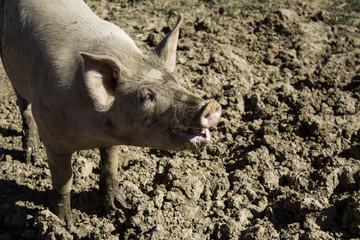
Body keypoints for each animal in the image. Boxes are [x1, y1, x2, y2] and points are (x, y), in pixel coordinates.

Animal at [0, 0, 221, 226]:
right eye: (146, 96)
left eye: (175, 80)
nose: (210, 106)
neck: (93, 132)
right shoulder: (52, 136)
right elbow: (63, 180)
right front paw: (64, 223)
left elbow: (110, 165)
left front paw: (118, 209)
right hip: (13, 75)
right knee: (25, 110)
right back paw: (31, 159)